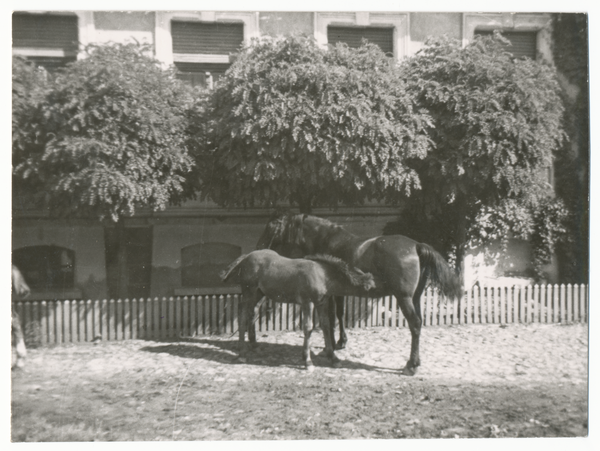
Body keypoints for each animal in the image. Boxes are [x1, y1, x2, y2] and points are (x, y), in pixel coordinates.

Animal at [220, 251, 376, 370]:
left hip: (260, 293)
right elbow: (308, 328)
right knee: (242, 313)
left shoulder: (321, 303)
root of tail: (246, 257)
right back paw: (242, 353)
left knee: (253, 312)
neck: (322, 275)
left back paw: (254, 345)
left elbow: (326, 326)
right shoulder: (308, 302)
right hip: (249, 291)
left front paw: (333, 358)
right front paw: (307, 361)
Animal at [255, 214, 462, 376]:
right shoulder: (338, 293)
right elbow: (340, 315)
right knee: (418, 323)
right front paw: (340, 343)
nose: (259, 247)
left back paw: (410, 366)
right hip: (415, 298)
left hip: (404, 298)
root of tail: (416, 245)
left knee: (415, 324)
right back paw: (417, 362)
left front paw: (332, 346)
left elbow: (332, 317)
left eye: (271, 228)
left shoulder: (332, 294)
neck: (327, 240)